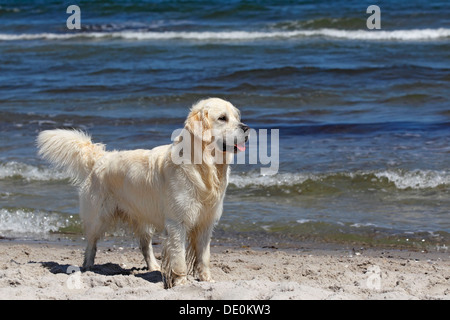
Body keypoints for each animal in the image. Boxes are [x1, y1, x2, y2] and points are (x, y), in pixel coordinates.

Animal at [37, 97, 250, 288]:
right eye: (222, 118)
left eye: (236, 116)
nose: (247, 128)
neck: (204, 167)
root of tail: (101, 158)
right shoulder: (177, 223)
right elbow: (179, 258)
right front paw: (181, 283)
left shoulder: (206, 221)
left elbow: (204, 257)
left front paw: (207, 280)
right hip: (97, 216)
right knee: (91, 243)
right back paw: (88, 267)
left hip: (142, 217)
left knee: (144, 244)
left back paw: (153, 266)